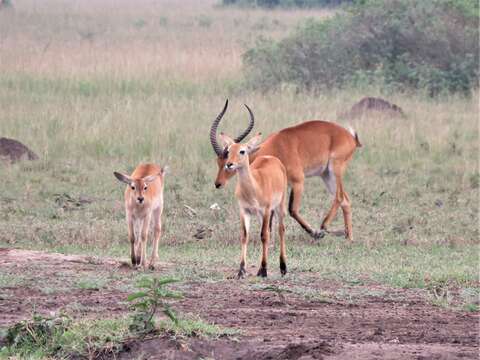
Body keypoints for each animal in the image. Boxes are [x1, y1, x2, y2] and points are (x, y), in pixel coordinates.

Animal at [210, 100, 360, 242]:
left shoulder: (298, 181)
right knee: (345, 200)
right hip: (326, 175)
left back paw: (324, 228)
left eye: (230, 162)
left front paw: (316, 233)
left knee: (339, 197)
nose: (218, 183)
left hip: (335, 169)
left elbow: (292, 210)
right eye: (218, 161)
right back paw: (349, 238)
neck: (274, 150)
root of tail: (351, 138)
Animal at [218, 132, 288, 278]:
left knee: (281, 230)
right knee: (269, 232)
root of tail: (272, 158)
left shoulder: (266, 210)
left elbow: (264, 236)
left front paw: (264, 270)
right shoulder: (244, 211)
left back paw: (283, 268)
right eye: (228, 151)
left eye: (242, 151)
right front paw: (241, 271)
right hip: (261, 215)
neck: (254, 187)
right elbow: (245, 236)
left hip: (279, 206)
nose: (229, 164)